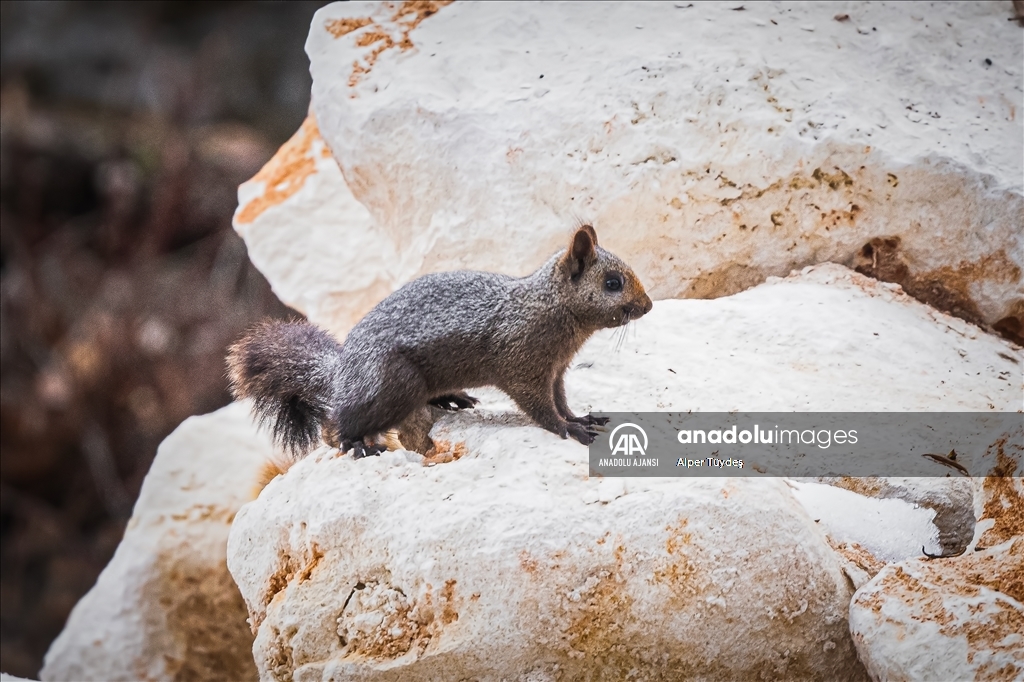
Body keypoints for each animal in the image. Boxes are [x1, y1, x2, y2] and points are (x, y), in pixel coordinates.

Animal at [228, 223, 651, 462]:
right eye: (612, 283)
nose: (647, 306)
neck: (545, 306)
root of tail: (341, 372)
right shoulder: (522, 364)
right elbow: (542, 409)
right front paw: (569, 429)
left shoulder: (557, 370)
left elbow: (561, 400)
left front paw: (580, 418)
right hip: (393, 385)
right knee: (336, 424)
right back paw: (357, 443)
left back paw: (452, 399)